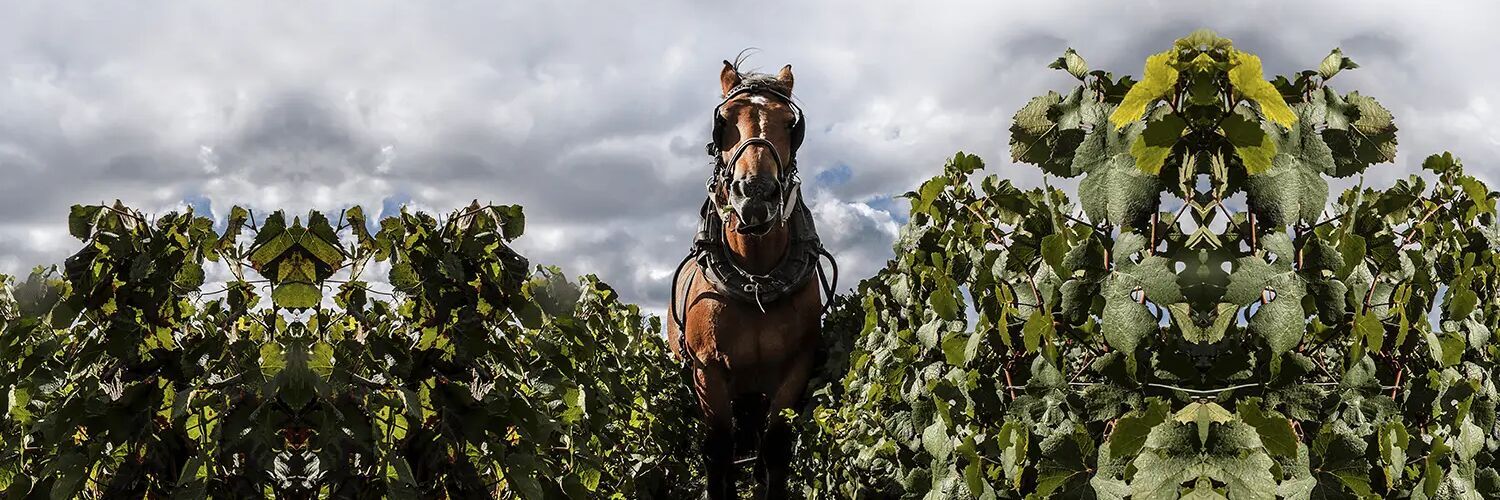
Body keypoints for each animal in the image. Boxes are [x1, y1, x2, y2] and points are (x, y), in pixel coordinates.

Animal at [669, 57, 834, 495]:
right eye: (724, 120)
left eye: (790, 123)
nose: (756, 195)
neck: (756, 278)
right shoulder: (708, 373)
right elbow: (719, 451)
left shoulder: (795, 368)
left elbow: (774, 449)